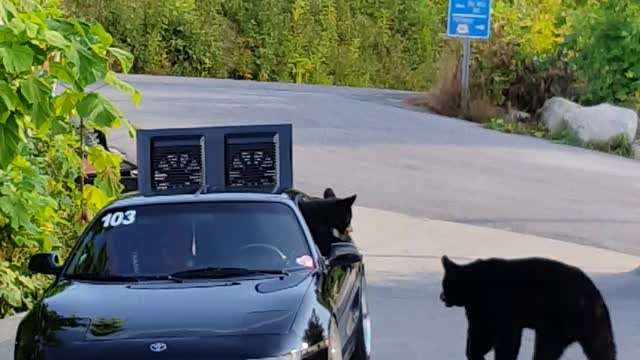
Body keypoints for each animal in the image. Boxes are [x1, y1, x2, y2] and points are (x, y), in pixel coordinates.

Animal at [440, 256, 616, 360]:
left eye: (444, 284)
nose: (442, 297)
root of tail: (595, 297)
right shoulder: (480, 312)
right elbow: (481, 335)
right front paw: (475, 354)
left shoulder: (500, 307)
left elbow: (505, 339)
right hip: (590, 326)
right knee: (602, 347)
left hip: (558, 321)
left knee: (547, 348)